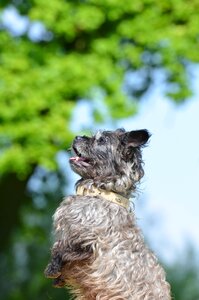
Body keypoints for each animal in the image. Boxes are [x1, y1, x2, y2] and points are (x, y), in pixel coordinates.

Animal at [44, 129, 171, 300]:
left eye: (102, 140)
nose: (77, 137)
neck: (99, 193)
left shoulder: (91, 245)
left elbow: (63, 252)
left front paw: (53, 269)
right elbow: (58, 247)